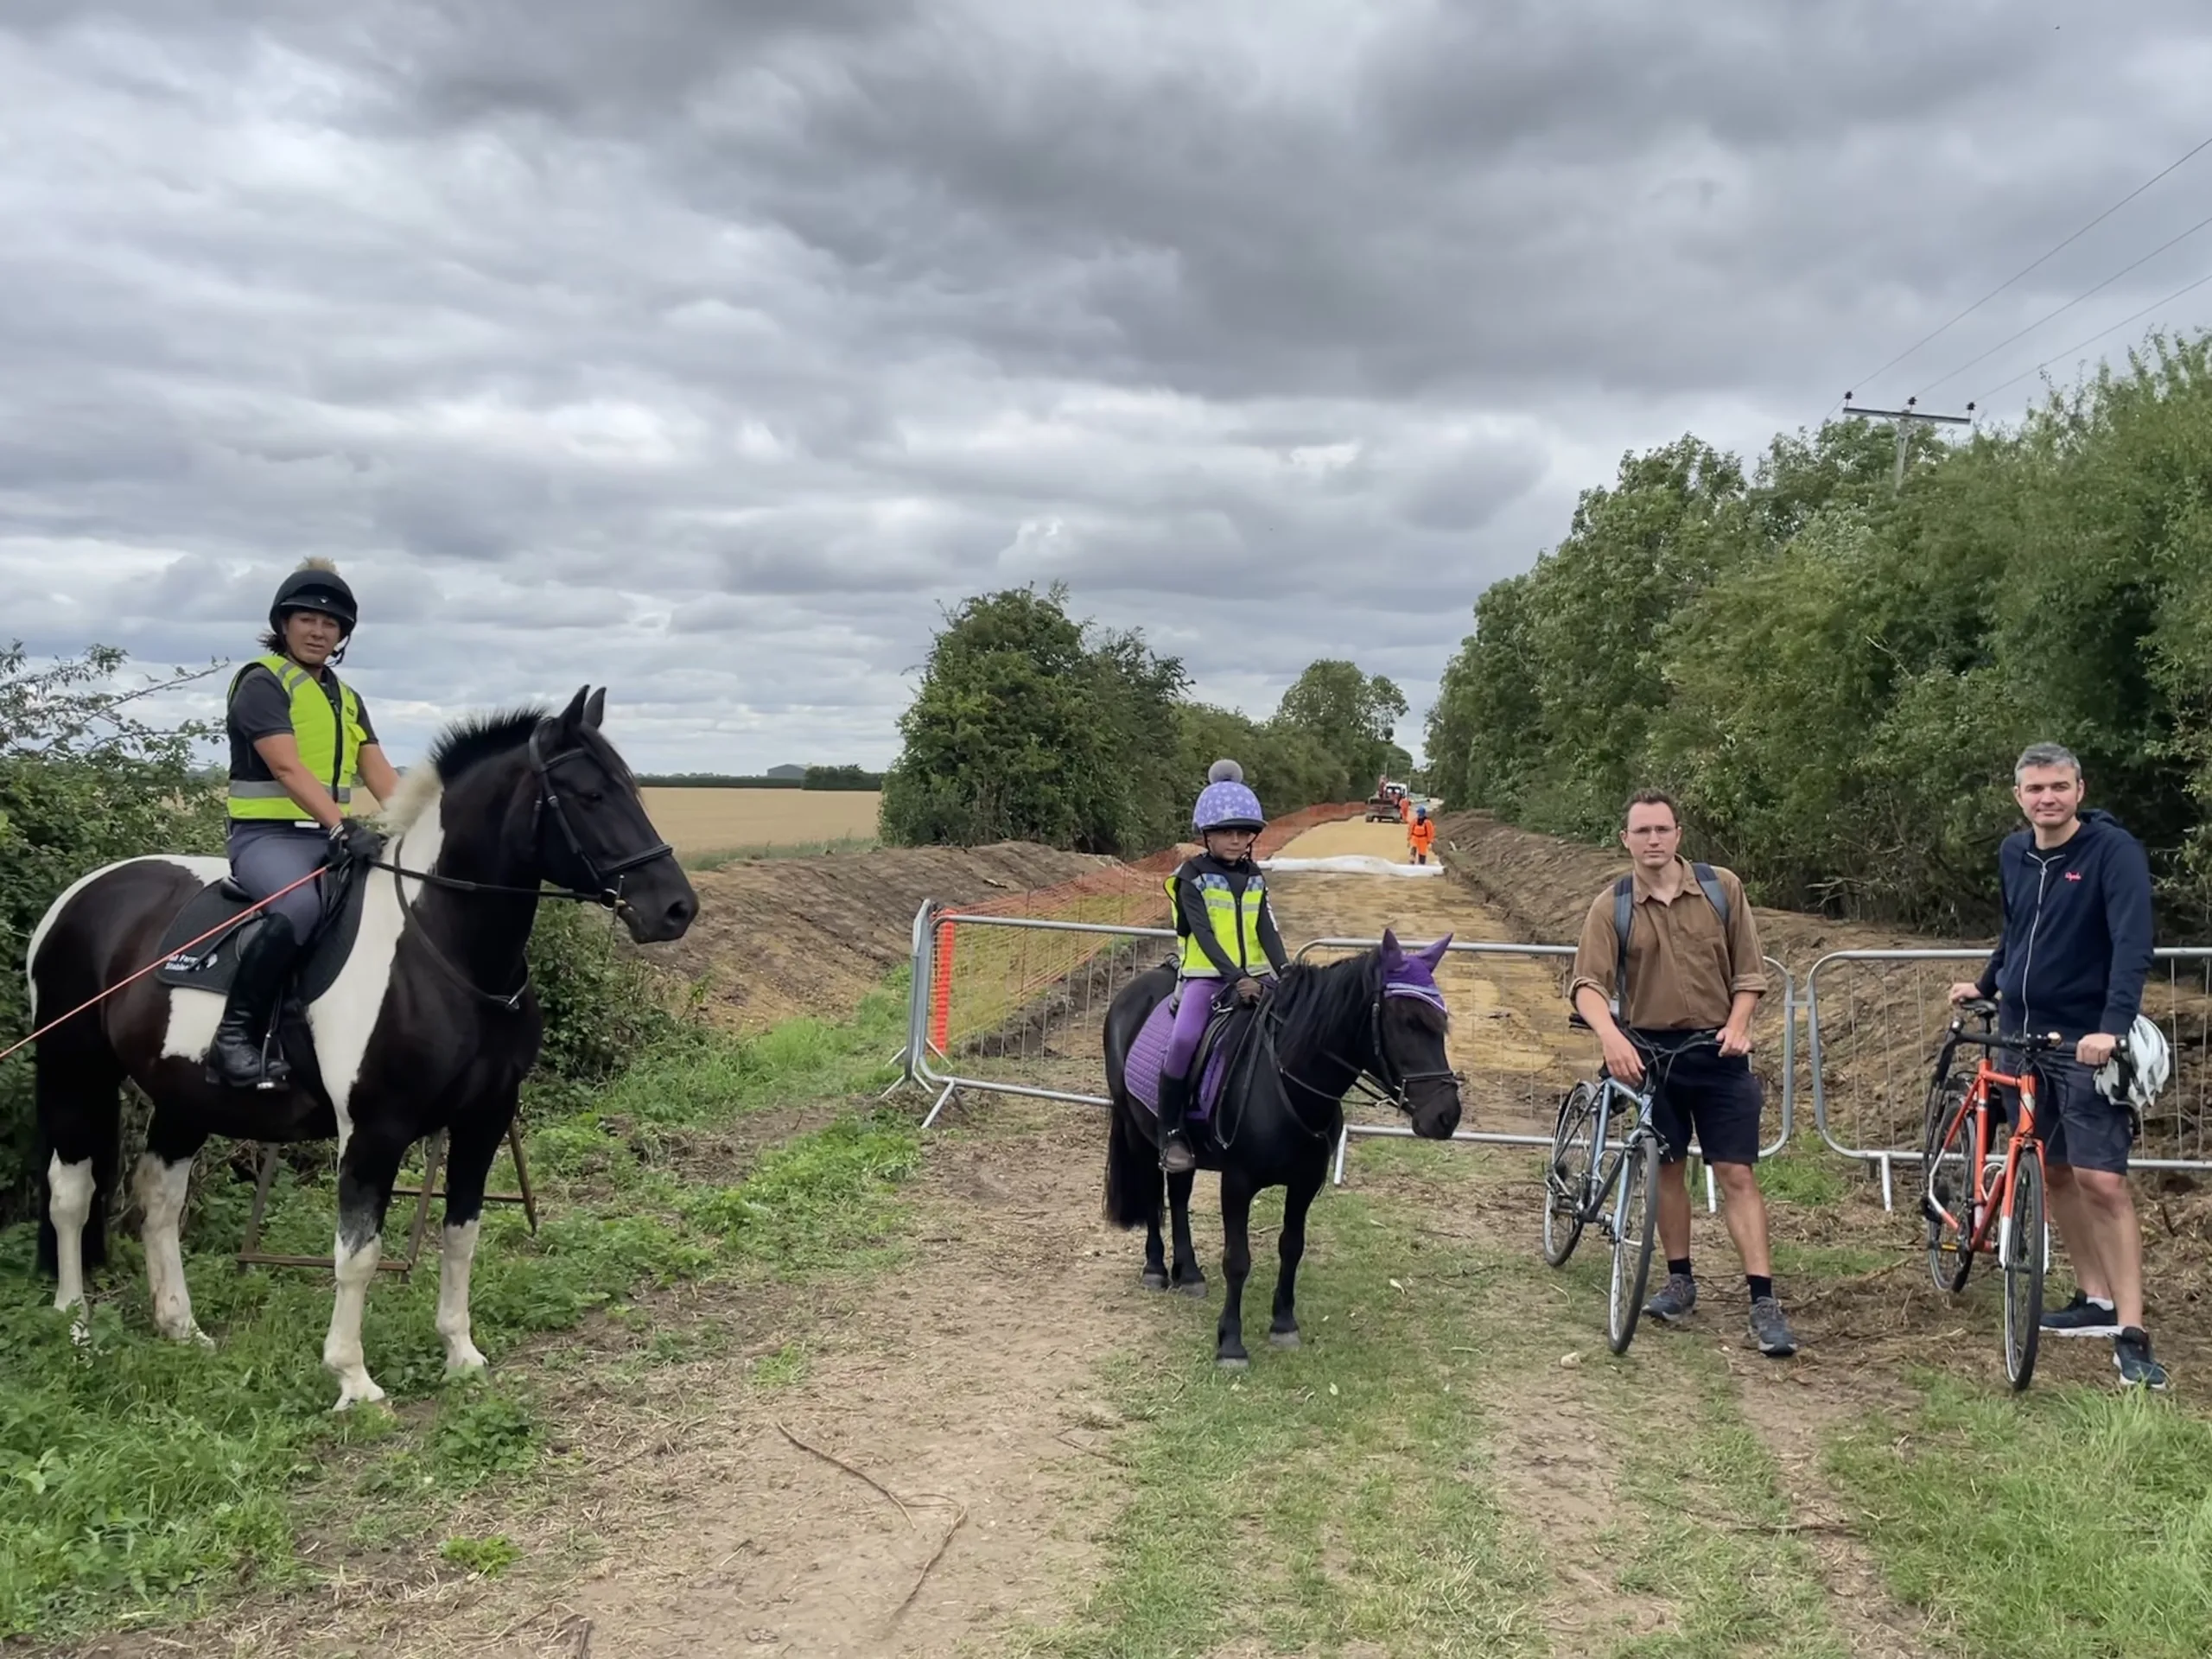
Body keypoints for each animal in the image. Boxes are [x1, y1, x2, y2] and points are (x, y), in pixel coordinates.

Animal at [19, 685, 690, 1407]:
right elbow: (358, 1255)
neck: (440, 946)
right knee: (71, 1195)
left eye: (632, 790)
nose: (677, 909)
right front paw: (352, 1379)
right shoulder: (375, 1130)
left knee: (158, 1198)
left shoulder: (484, 1121)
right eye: (589, 795)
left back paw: (181, 1328)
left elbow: (463, 1236)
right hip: (73, 1068)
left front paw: (461, 1354)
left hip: (184, 1095)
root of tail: (82, 895)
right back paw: (75, 1326)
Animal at [1106, 929, 1468, 1371]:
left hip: (1181, 1150)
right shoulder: (1237, 1183)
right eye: (1406, 1021)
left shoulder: (1305, 1183)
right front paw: (1231, 1344)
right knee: (1152, 1196)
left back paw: (1188, 1273)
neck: (1286, 1082)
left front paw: (1283, 1324)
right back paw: (1156, 1268)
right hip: (1137, 1132)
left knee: (1177, 1195)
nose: (1446, 1115)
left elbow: (1291, 1248)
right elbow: (1237, 1260)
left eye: (1440, 1023)